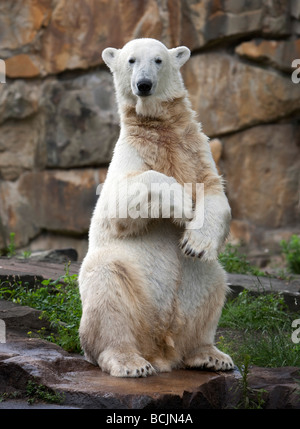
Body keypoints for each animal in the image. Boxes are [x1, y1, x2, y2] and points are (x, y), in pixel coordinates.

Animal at [78, 38, 233, 376]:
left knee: (214, 284)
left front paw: (194, 242)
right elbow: (118, 200)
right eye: (131, 60)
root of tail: (161, 349)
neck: (162, 132)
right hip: (126, 286)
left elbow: (215, 195)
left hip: (193, 293)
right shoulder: (130, 156)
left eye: (159, 60)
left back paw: (210, 356)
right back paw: (129, 362)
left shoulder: (196, 152)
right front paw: (182, 204)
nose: (144, 84)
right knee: (107, 292)